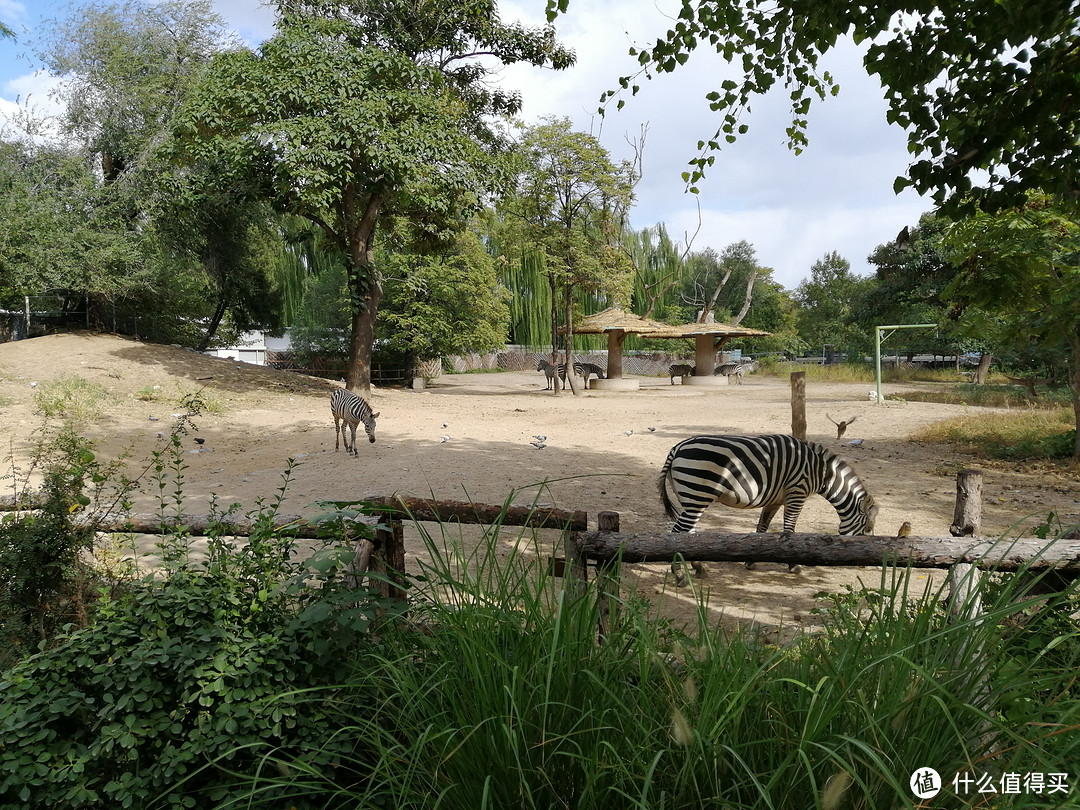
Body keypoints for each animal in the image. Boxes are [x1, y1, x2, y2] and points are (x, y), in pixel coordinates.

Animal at [656, 438, 876, 583]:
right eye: (866, 529)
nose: (865, 564)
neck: (823, 473)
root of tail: (677, 448)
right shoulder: (797, 492)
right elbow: (789, 530)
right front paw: (794, 565)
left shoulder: (776, 499)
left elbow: (762, 528)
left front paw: (751, 561)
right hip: (697, 494)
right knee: (678, 532)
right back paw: (679, 574)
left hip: (690, 497)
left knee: (688, 533)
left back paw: (699, 567)